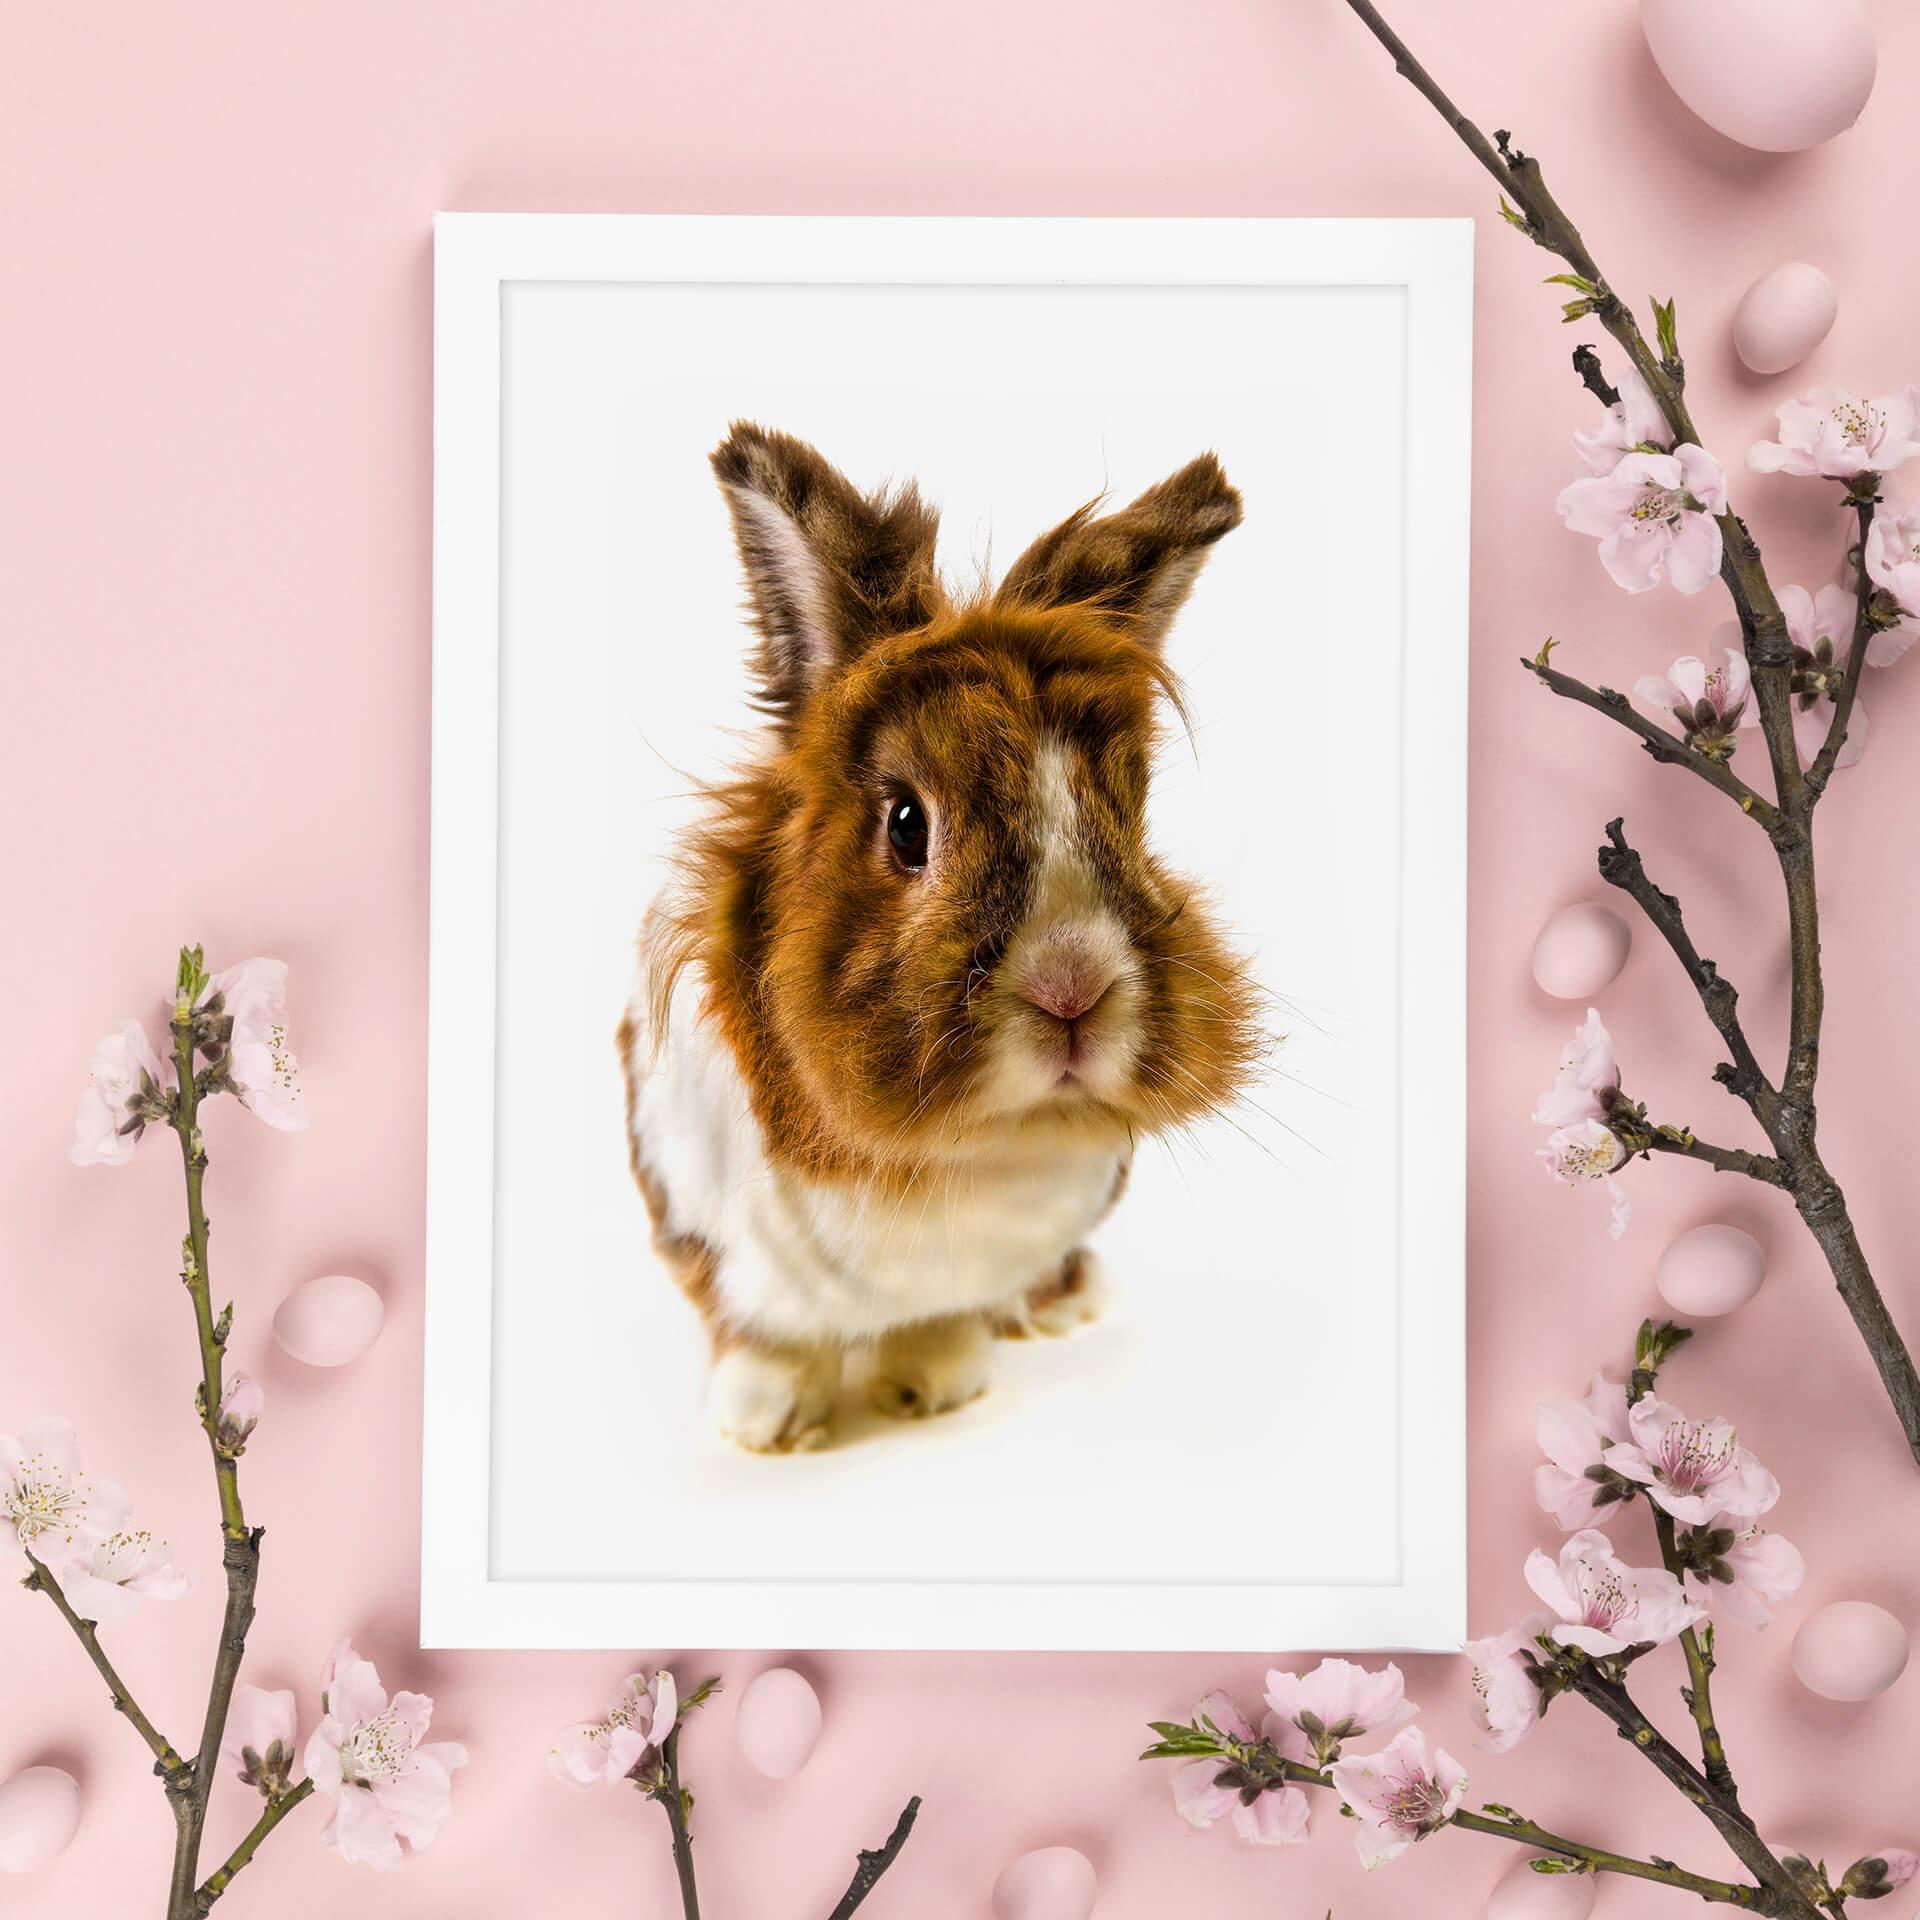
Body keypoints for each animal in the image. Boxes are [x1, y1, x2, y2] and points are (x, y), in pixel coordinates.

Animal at [618, 422, 1264, 1451]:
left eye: (1130, 818)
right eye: (906, 826)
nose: (1073, 990)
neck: (950, 1155)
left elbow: (941, 1323)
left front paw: (929, 1387)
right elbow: (758, 1334)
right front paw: (766, 1425)